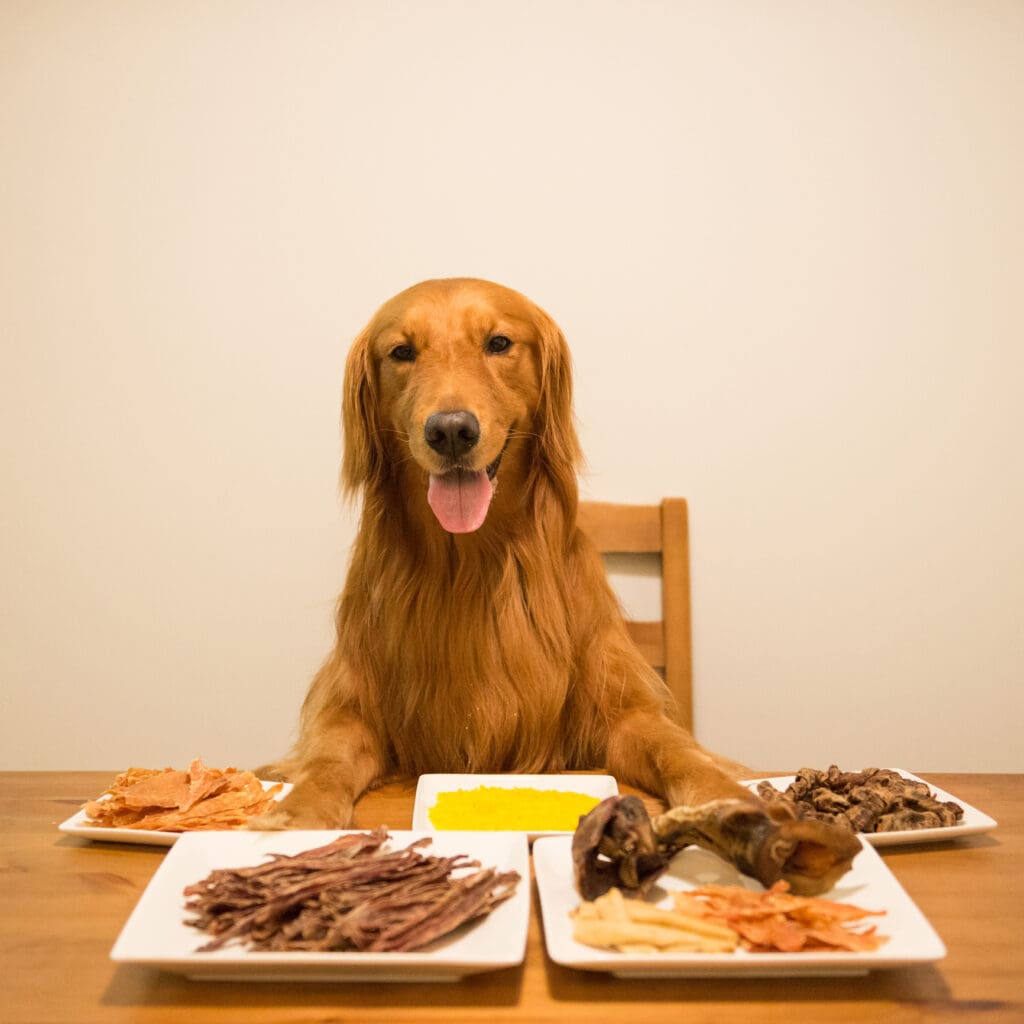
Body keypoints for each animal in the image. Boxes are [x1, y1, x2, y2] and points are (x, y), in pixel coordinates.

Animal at [256, 276, 753, 827]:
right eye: (402, 352)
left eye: (498, 343)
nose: (451, 430)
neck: (472, 558)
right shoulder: (353, 708)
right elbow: (327, 759)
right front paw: (296, 814)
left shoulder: (624, 709)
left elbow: (676, 748)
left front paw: (727, 795)